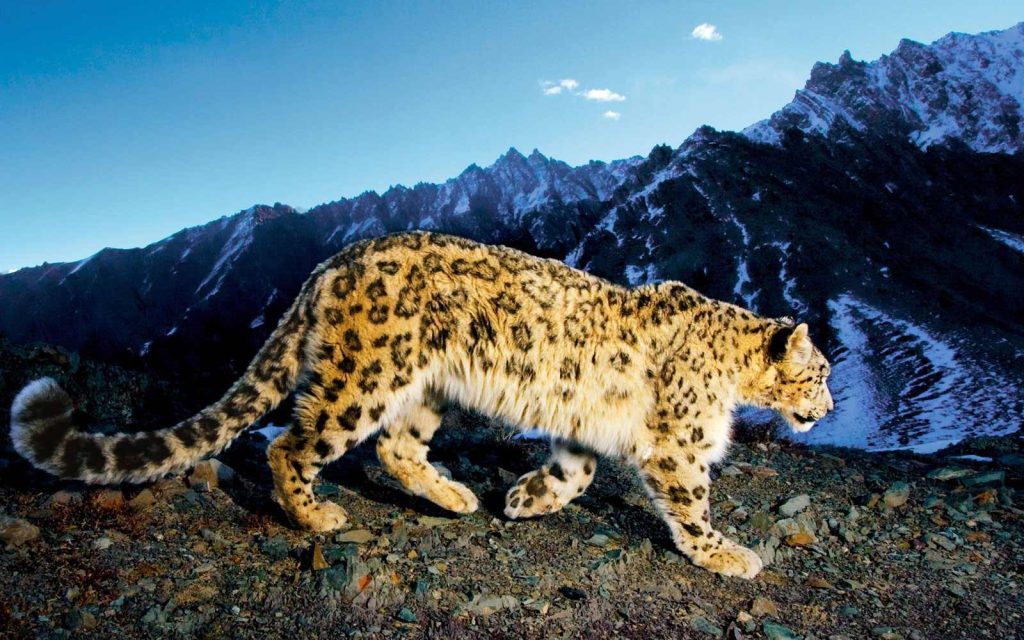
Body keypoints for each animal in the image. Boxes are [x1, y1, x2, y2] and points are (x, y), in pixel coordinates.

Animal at [9, 230, 831, 577]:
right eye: (820, 372)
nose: (825, 408)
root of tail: (330, 264)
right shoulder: (678, 445)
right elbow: (690, 504)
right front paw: (727, 554)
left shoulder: (585, 428)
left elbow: (577, 473)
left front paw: (524, 499)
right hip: (365, 375)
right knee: (294, 443)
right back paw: (316, 514)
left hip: (425, 388)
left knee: (396, 446)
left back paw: (458, 496)